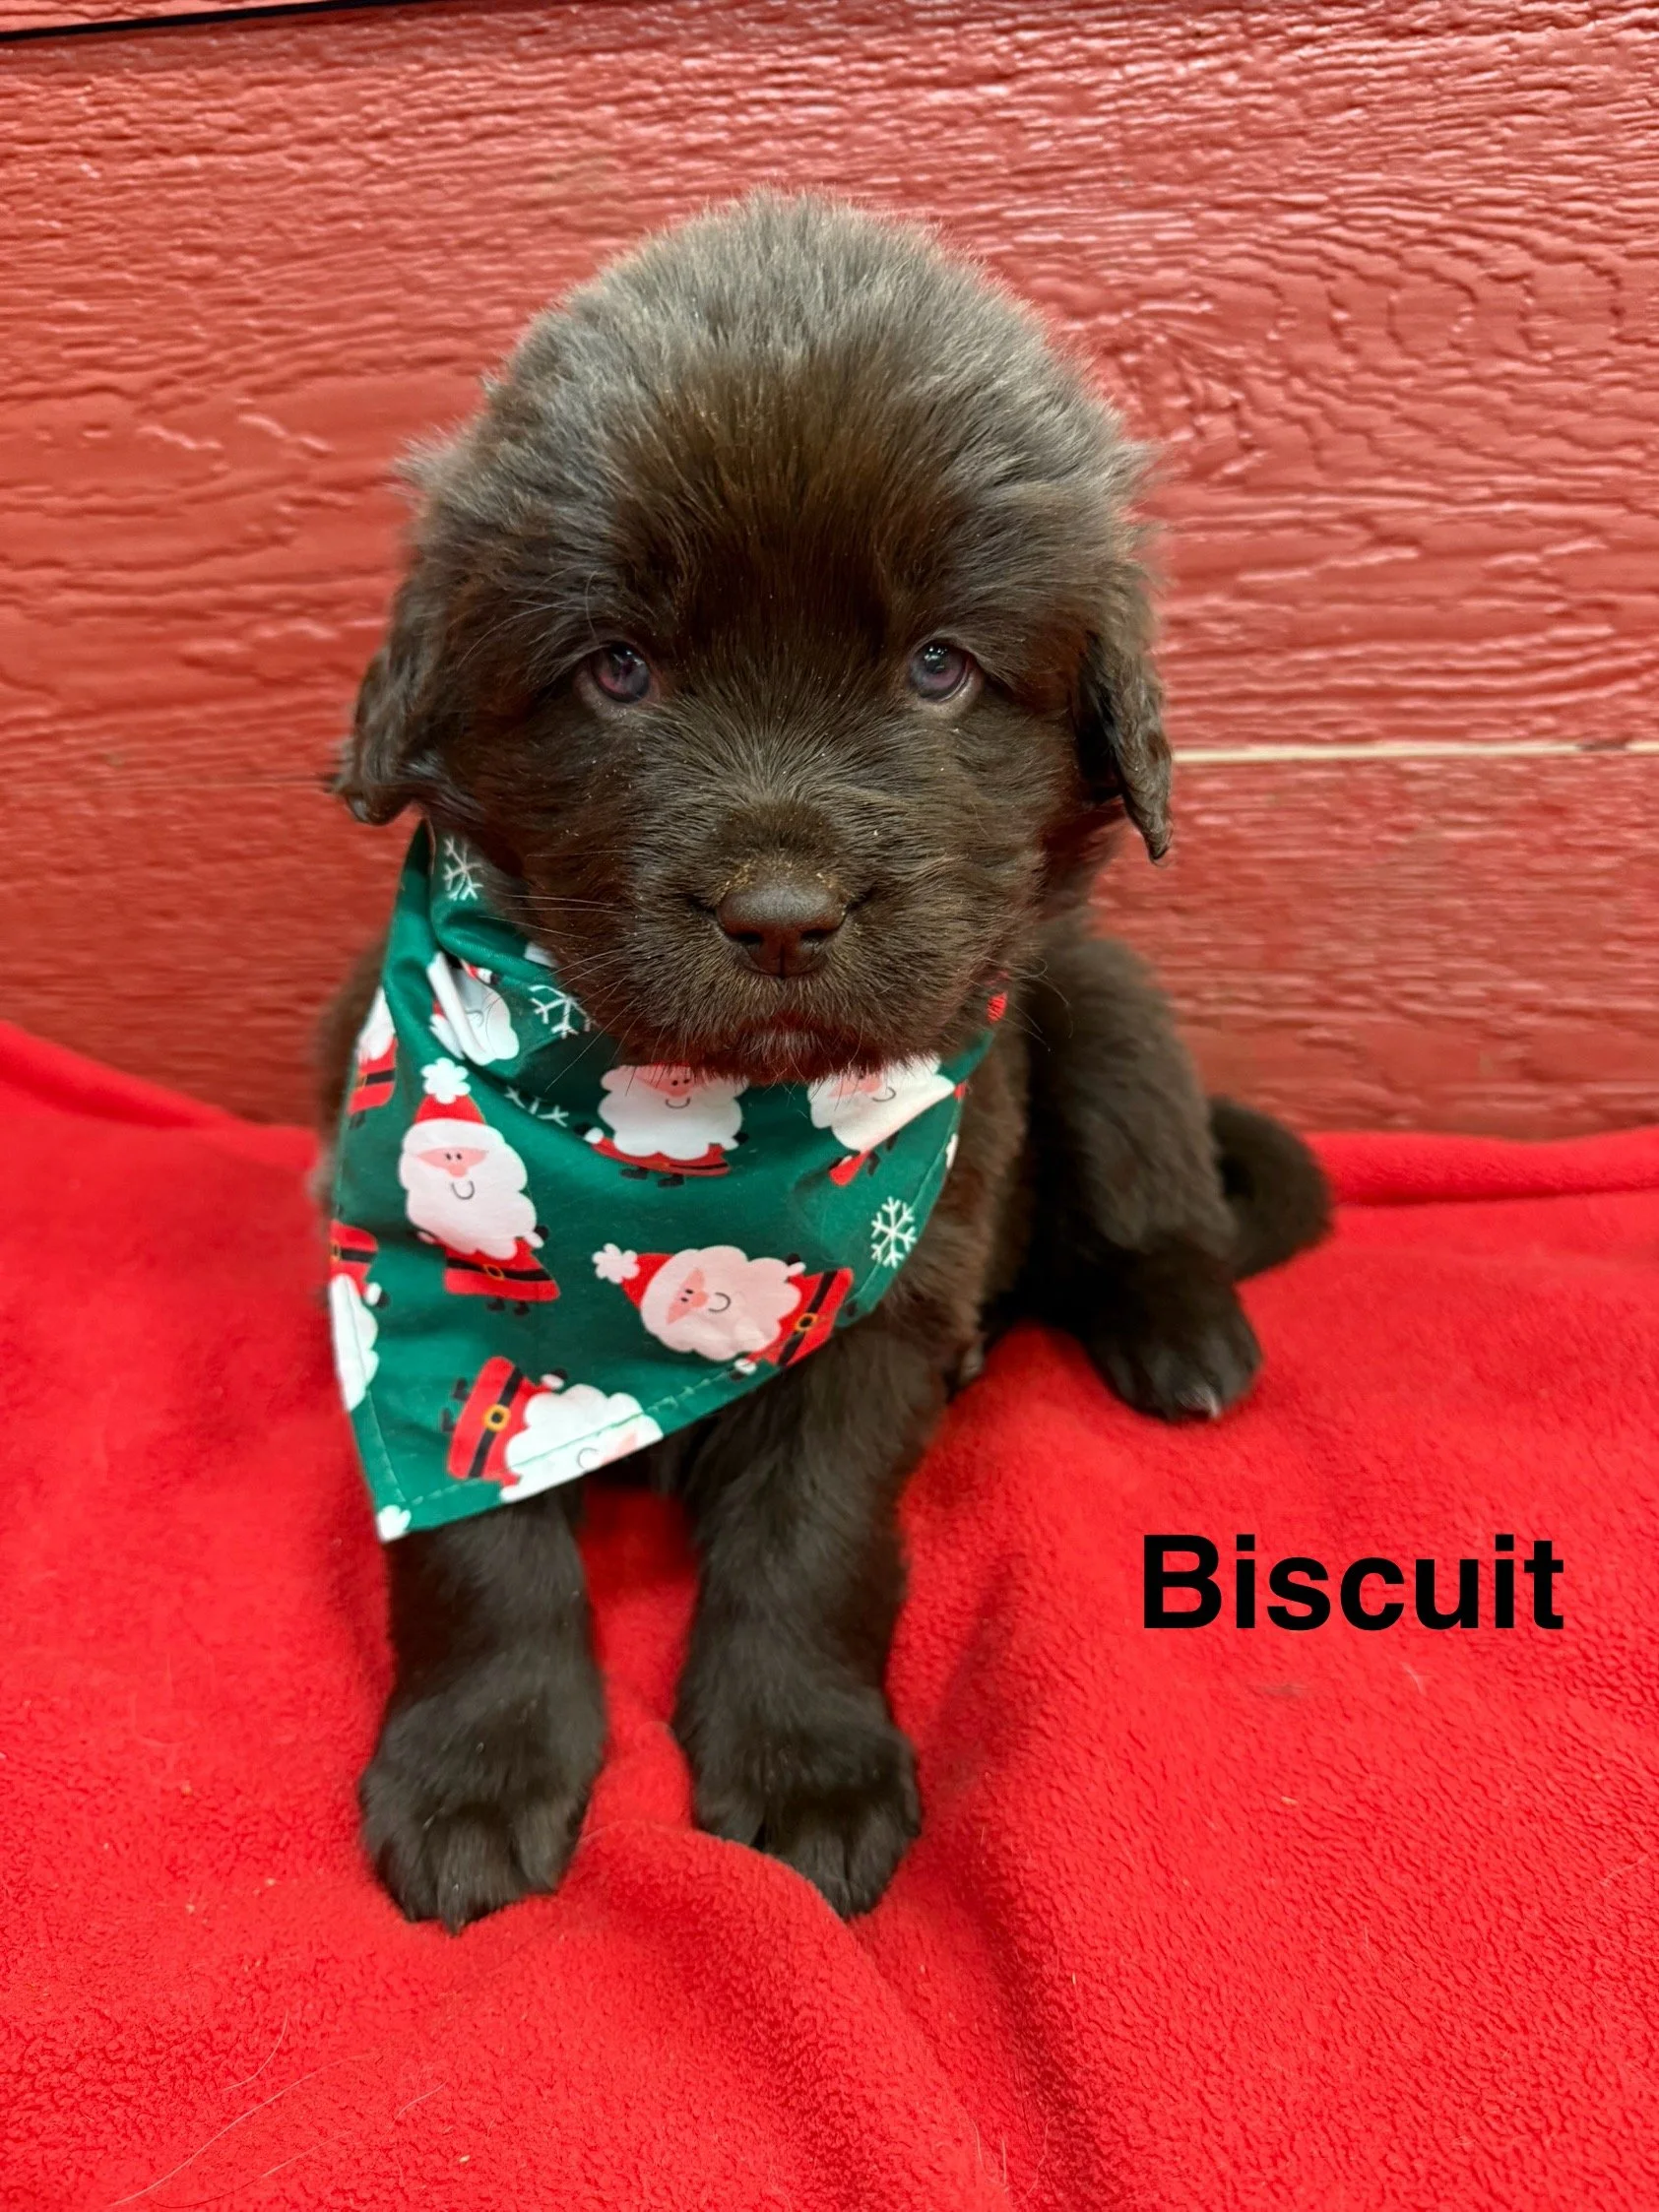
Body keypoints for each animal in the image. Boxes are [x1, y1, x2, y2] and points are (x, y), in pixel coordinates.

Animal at [318, 192, 1329, 1932]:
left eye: (938, 666)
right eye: (617, 668)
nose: (781, 915)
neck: (686, 1130)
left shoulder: (886, 1294)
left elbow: (815, 1535)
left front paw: (803, 1764)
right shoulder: (413, 1295)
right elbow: (472, 1545)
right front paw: (475, 1767)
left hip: (1100, 1005)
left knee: (1163, 1202)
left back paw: (1182, 1333)